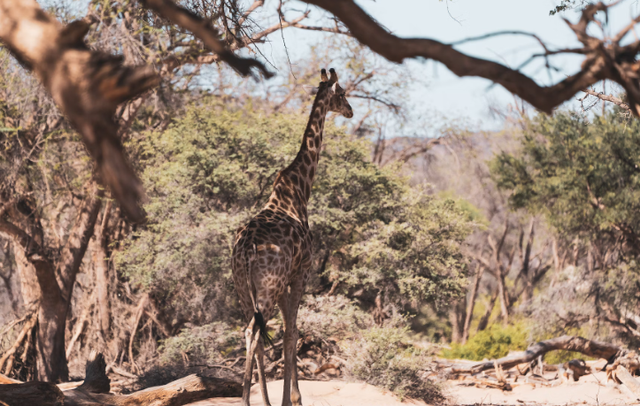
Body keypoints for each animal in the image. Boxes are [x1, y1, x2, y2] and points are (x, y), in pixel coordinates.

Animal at [231, 68, 352, 404]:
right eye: (342, 93)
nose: (350, 111)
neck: (299, 191)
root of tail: (246, 251)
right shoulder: (301, 273)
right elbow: (292, 332)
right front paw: (293, 398)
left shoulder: (288, 280)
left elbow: (288, 331)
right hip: (268, 285)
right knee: (255, 332)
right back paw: (247, 399)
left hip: (242, 288)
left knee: (250, 331)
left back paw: (256, 398)